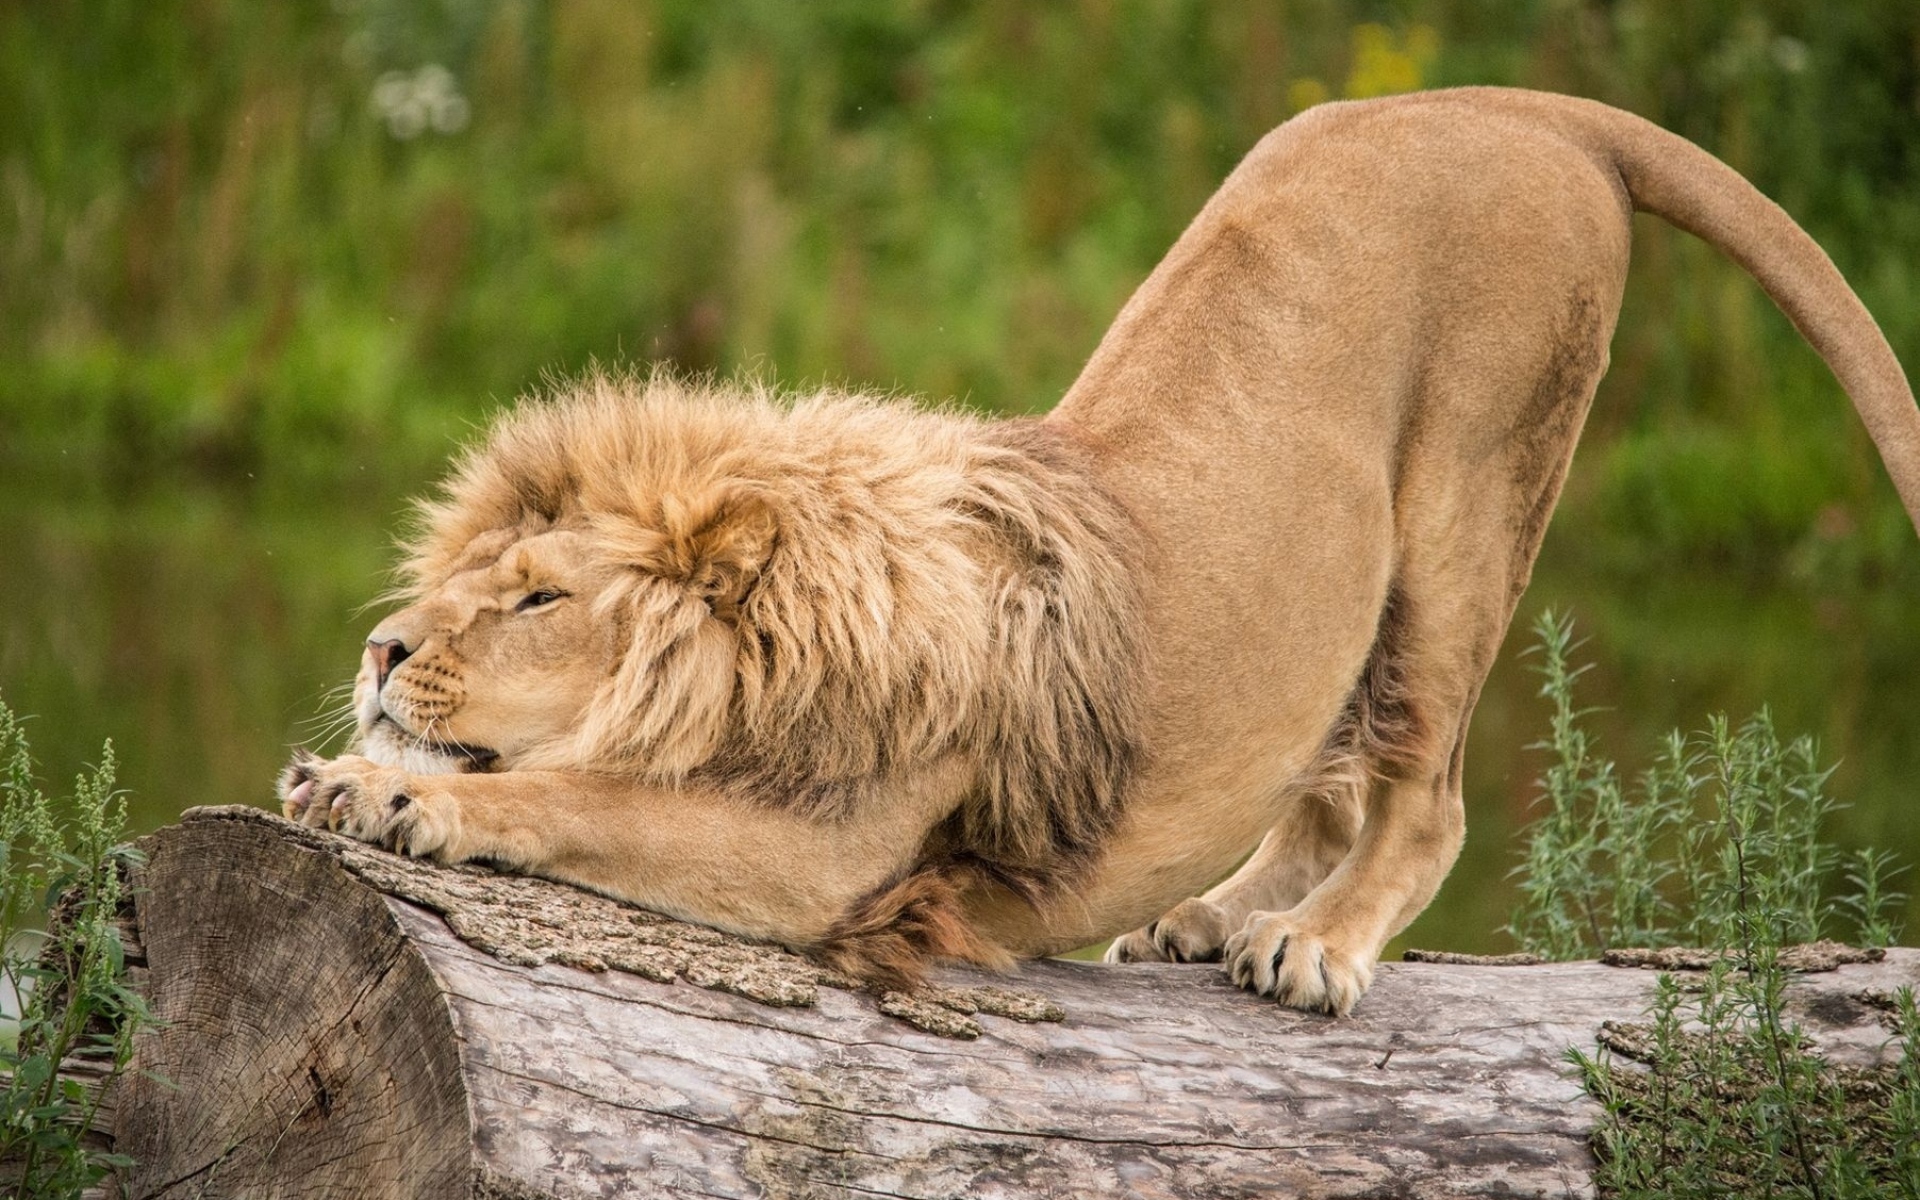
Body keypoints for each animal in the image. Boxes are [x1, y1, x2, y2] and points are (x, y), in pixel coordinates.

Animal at [282, 88, 1920, 1015]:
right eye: (449, 590)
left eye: (539, 598)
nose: (378, 650)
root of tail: (1535, 108)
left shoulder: (842, 850)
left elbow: (585, 798)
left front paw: (381, 791)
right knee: (1325, 777)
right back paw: (1212, 920)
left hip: (1471, 503)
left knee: (1428, 797)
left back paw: (1318, 950)